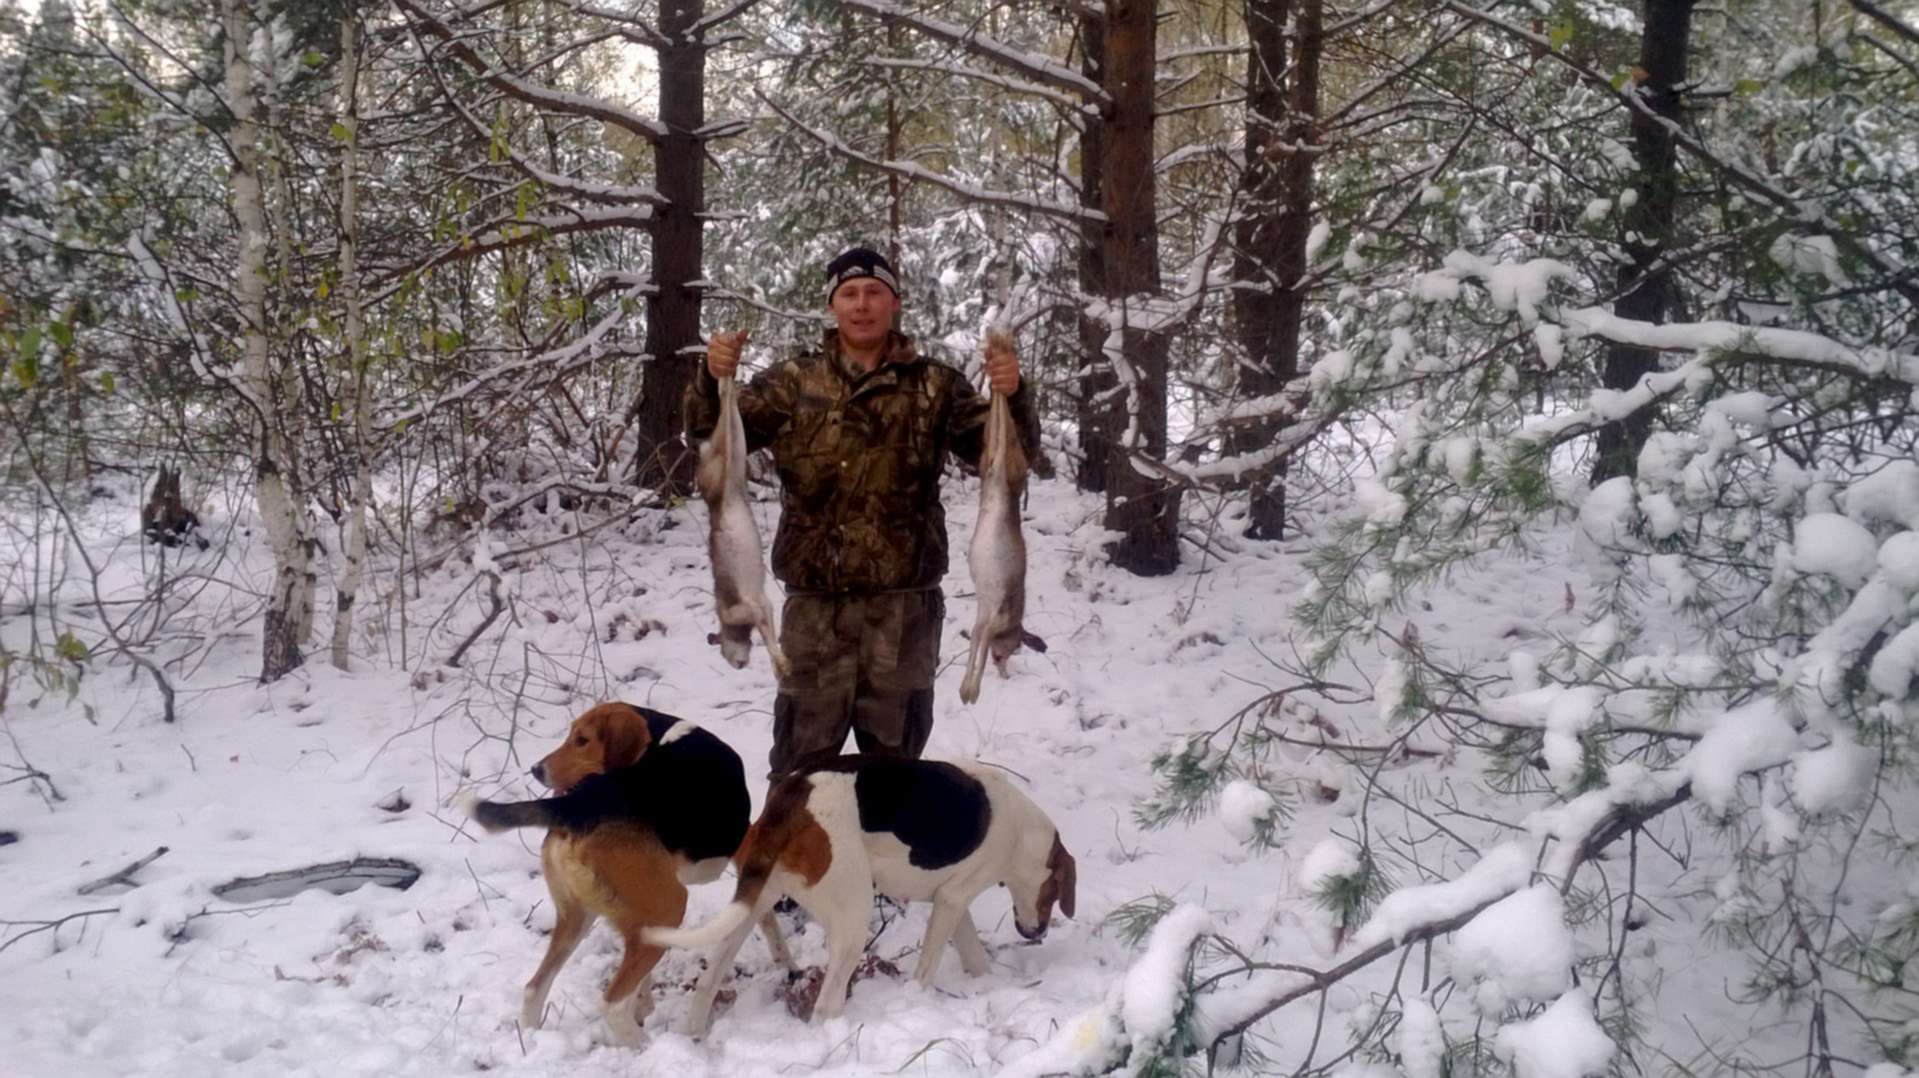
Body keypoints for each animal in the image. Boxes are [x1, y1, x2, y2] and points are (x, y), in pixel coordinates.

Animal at [464, 698, 786, 1043]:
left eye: (581, 740)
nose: (536, 770)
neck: (663, 734)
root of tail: (575, 808)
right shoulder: (748, 847)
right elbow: (764, 921)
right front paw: (785, 960)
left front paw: (644, 1005)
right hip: (669, 907)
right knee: (612, 1003)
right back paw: (643, 1046)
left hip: (578, 916)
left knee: (533, 988)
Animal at [637, 751, 1074, 1028]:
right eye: (1053, 895)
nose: (1037, 933)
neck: (1023, 832)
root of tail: (794, 794)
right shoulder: (953, 899)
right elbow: (926, 969)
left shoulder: (953, 901)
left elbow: (974, 956)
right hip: (852, 920)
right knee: (826, 1006)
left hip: (751, 906)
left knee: (707, 983)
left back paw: (693, 1037)